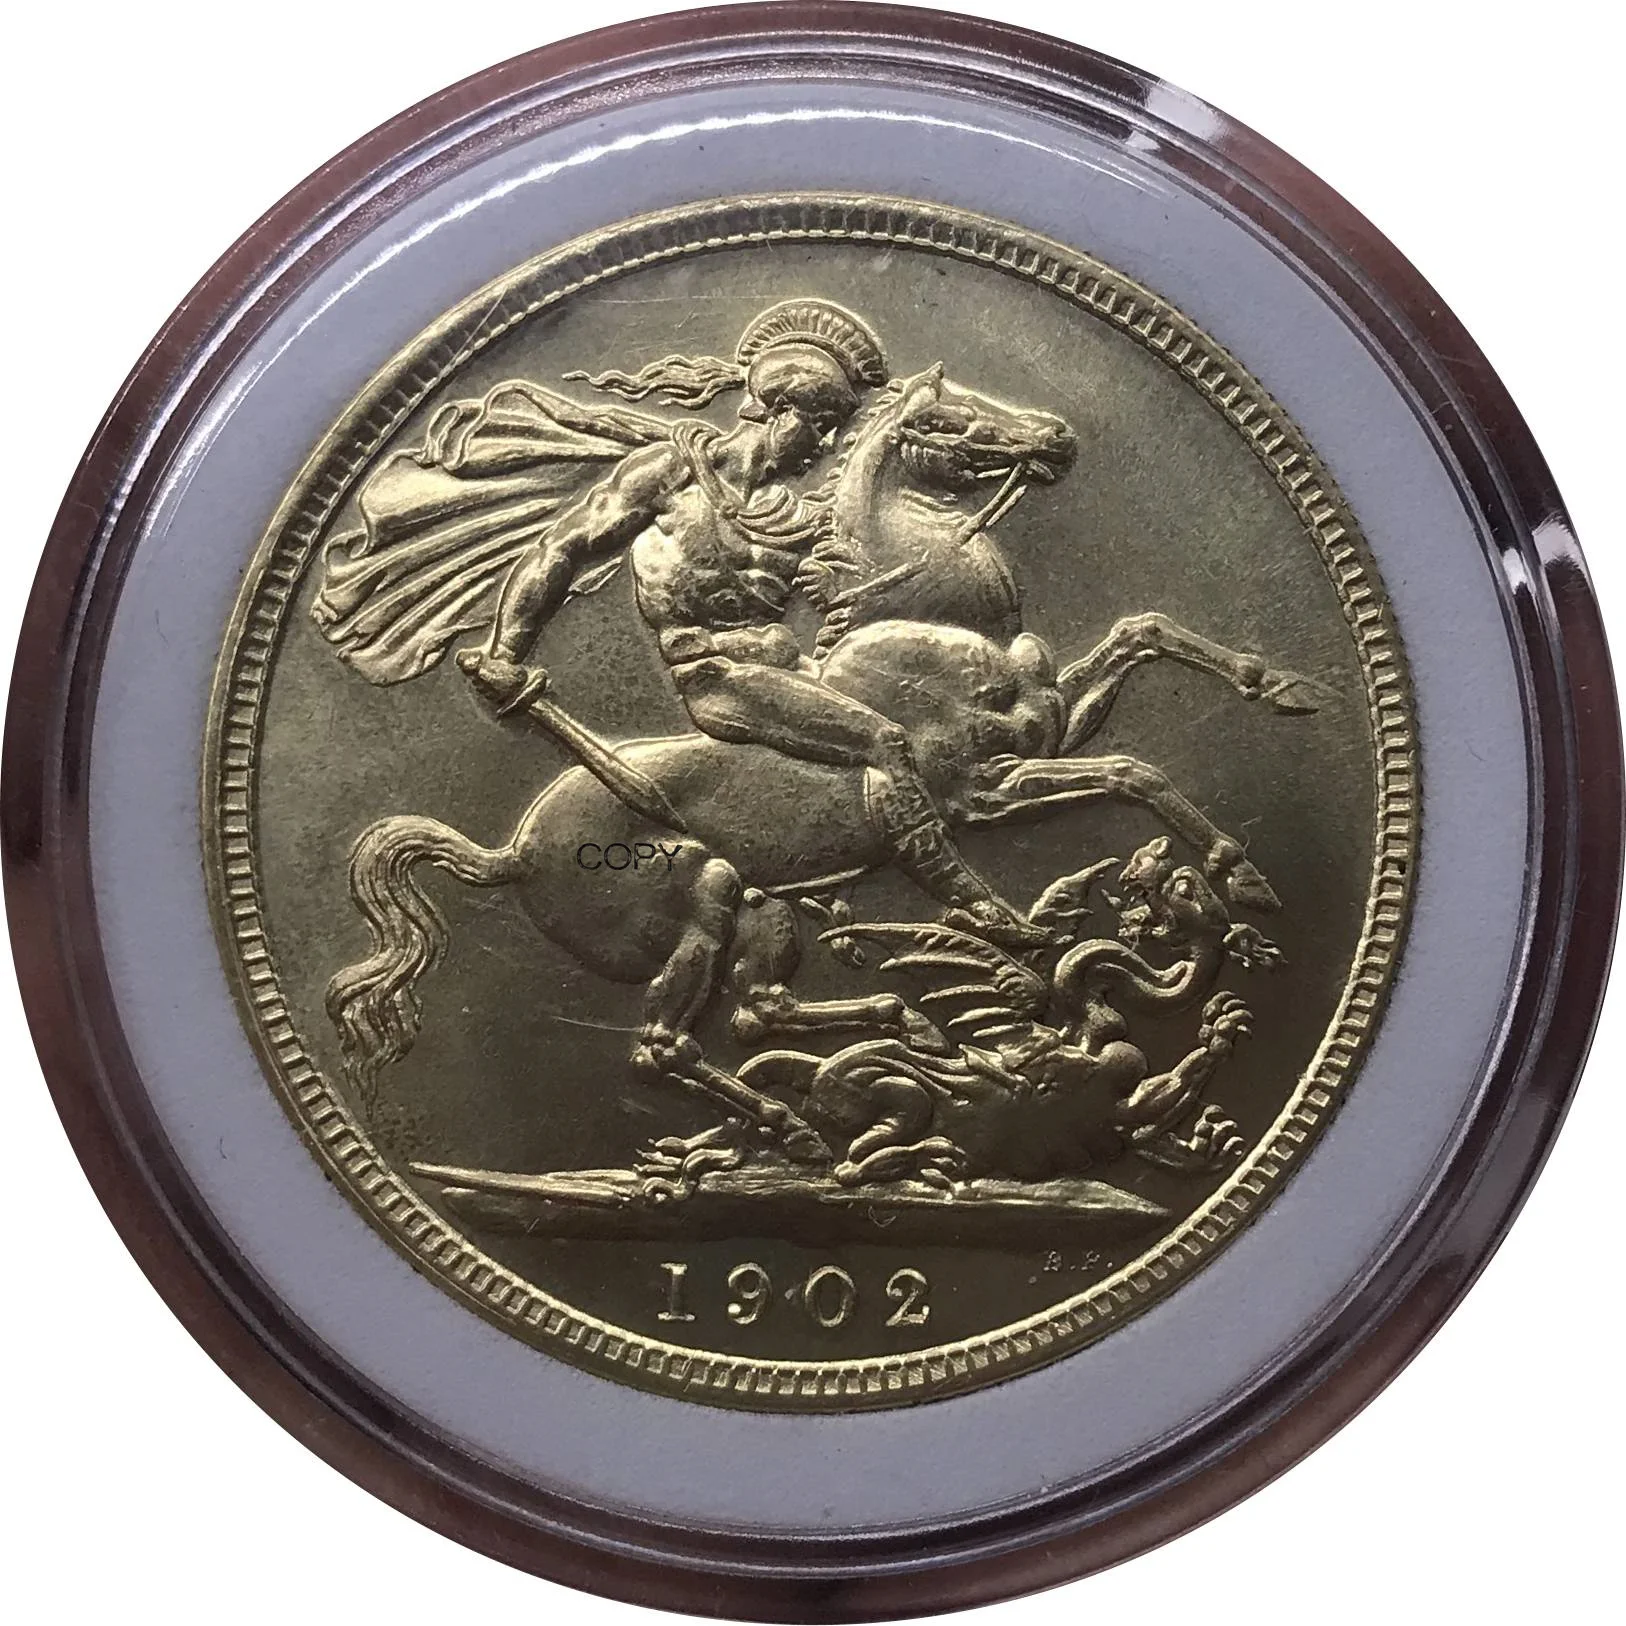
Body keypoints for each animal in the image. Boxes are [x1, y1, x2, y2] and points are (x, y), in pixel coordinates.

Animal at [327, 365, 1317, 1153]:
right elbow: (1131, 773)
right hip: (702, 895)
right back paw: (806, 1114)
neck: (926, 619)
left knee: (756, 1008)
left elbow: (1141, 634)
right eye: (948, 413)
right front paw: (1235, 873)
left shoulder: (1053, 725)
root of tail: (514, 851)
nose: (1056, 435)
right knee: (663, 1045)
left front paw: (1277, 685)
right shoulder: (983, 794)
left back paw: (887, 1037)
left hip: (765, 907)